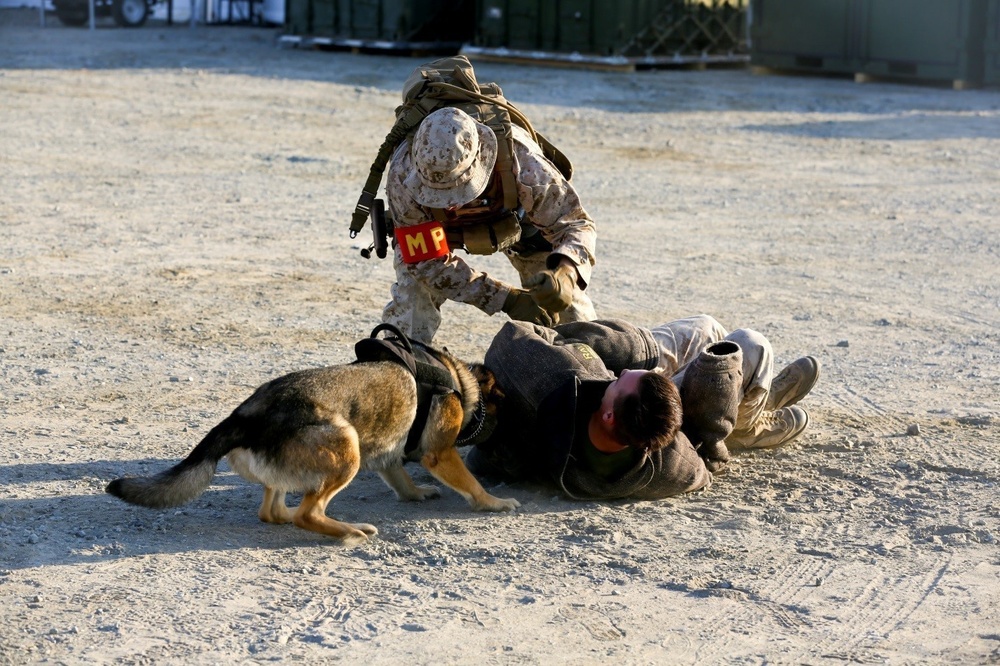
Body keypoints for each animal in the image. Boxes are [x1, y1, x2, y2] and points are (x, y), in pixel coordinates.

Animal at [106, 326, 520, 544]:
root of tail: (245, 414)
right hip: (347, 447)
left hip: (306, 466)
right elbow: (470, 484)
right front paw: (494, 502)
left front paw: (416, 493)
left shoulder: (387, 456)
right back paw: (349, 530)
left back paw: (294, 514)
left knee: (271, 511)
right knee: (309, 513)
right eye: (504, 403)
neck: (460, 381)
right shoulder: (440, 454)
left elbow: (401, 480)